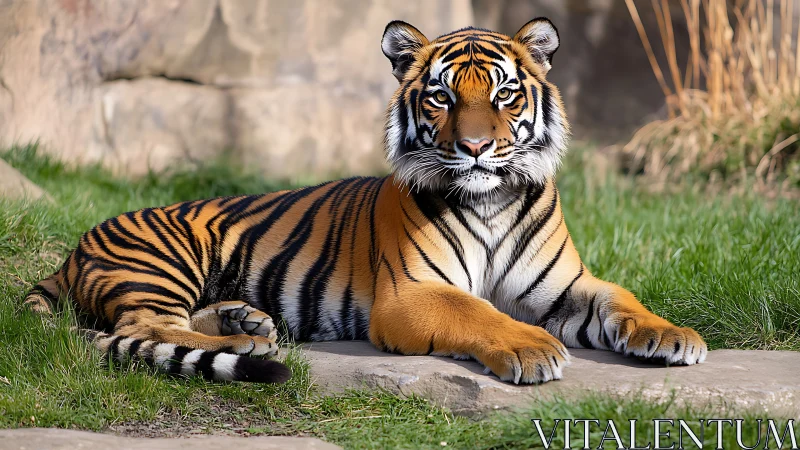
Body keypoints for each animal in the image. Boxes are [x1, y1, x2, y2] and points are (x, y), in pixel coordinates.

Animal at [23, 18, 707, 385]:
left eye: (504, 94)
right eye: (442, 97)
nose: (477, 147)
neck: (492, 202)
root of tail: (71, 251)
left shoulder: (566, 286)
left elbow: (621, 300)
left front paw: (674, 336)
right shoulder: (412, 294)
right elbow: (478, 312)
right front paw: (532, 348)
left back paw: (247, 322)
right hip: (163, 259)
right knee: (139, 327)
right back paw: (245, 345)